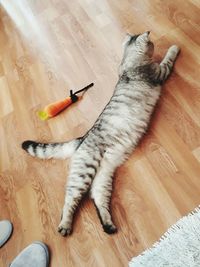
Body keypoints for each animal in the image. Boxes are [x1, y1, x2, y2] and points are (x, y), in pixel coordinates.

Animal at [21, 31, 180, 237]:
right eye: (151, 43)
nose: (153, 42)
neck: (128, 62)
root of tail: (81, 140)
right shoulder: (159, 71)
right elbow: (169, 57)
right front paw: (175, 47)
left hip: (103, 175)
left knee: (97, 198)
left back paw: (108, 225)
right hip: (84, 172)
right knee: (70, 200)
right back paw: (65, 226)